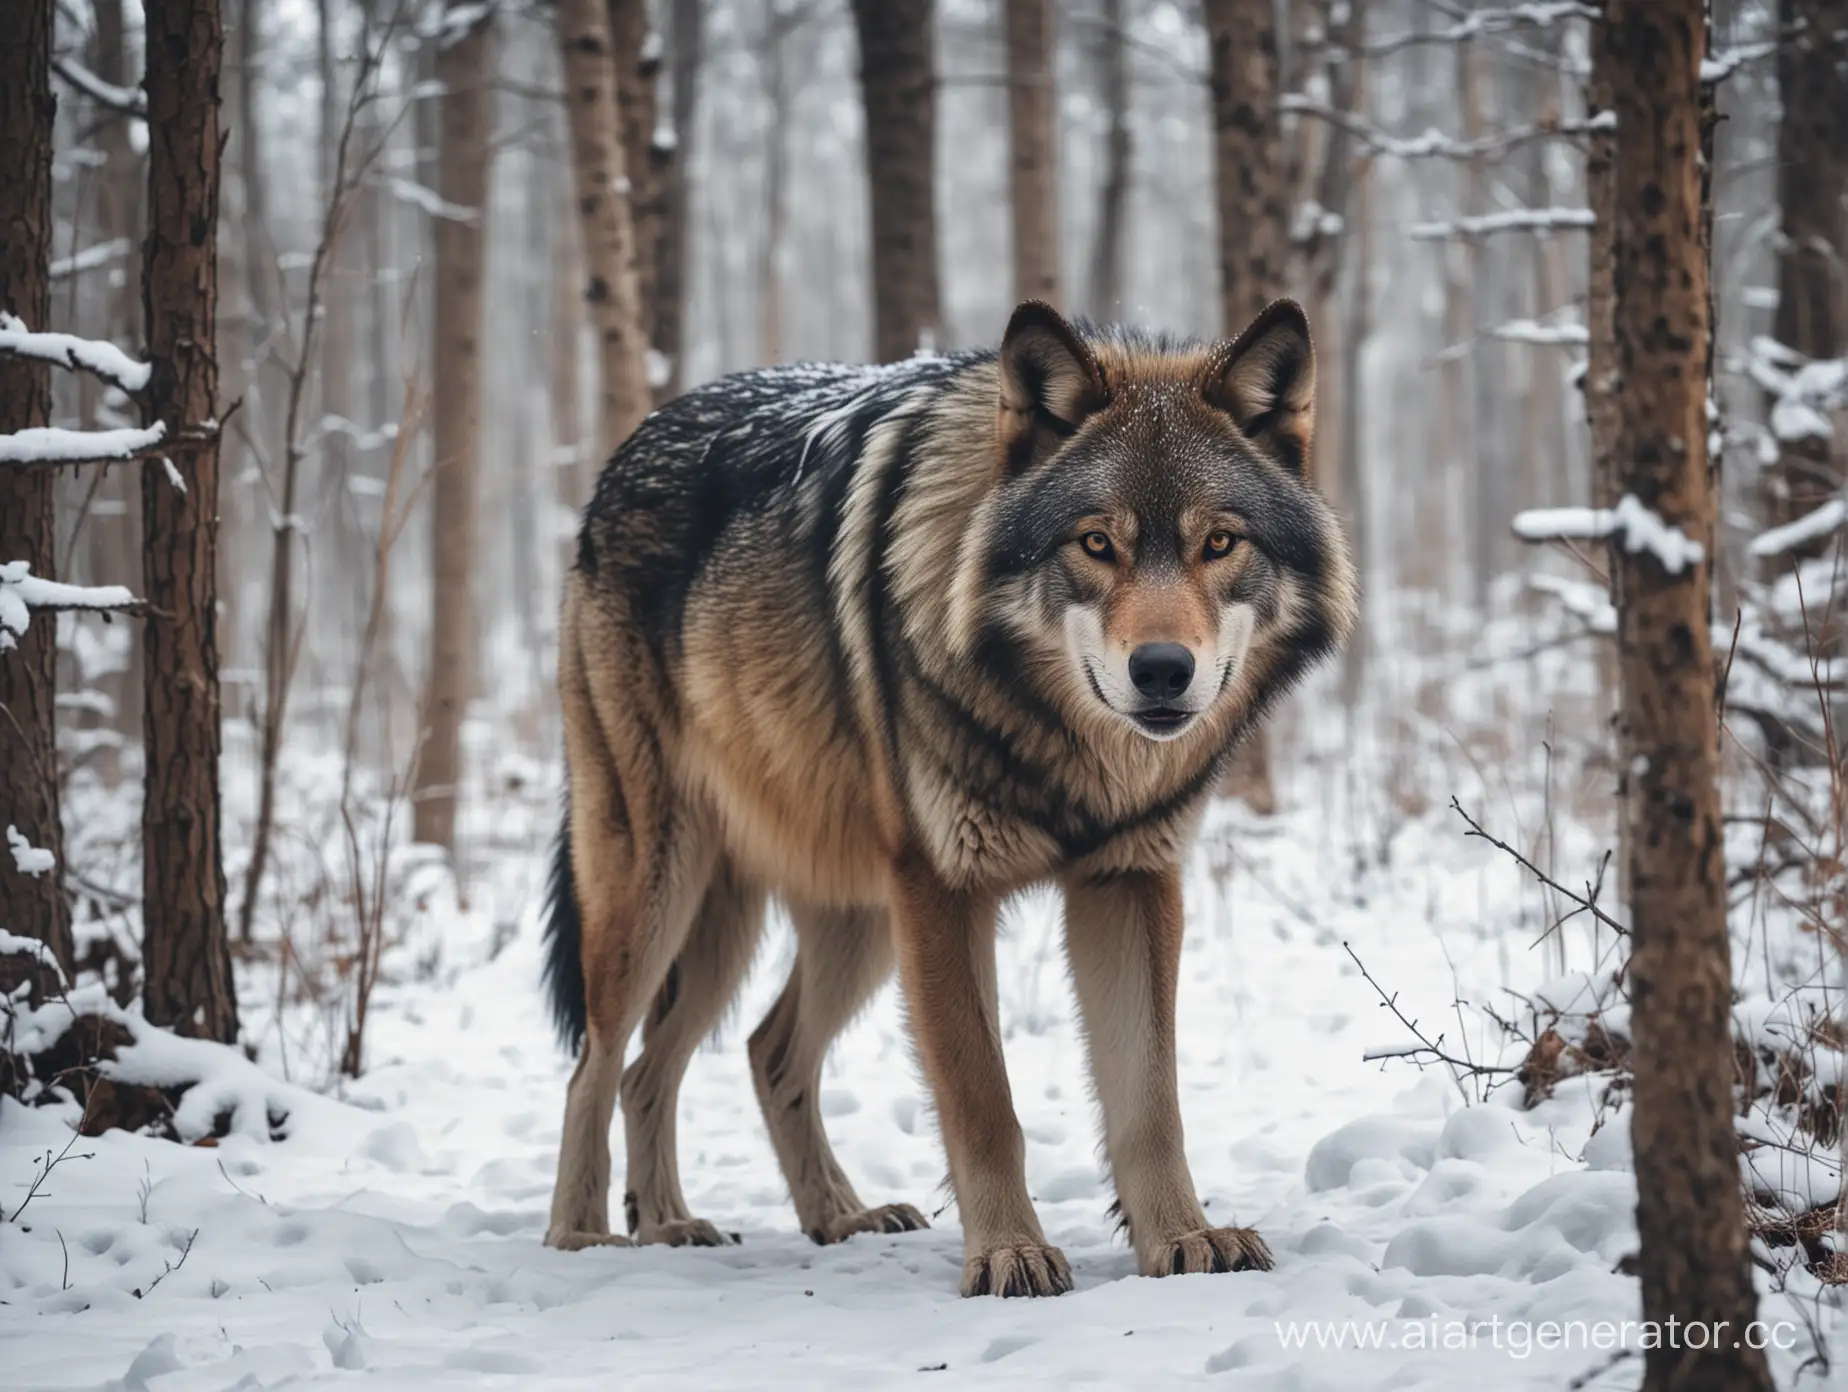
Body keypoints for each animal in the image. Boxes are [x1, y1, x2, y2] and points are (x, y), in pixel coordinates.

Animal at [539, 299, 1352, 1301]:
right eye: (1096, 543)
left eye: (1219, 543)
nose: (1163, 670)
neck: (1067, 751)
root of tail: (628, 448)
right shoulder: (943, 891)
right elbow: (981, 1098)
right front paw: (1008, 1253)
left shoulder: (1130, 881)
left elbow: (1150, 1103)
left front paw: (1183, 1238)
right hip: (663, 889)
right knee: (597, 1063)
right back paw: (586, 1235)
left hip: (832, 922)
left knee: (741, 1055)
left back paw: (781, 1219)